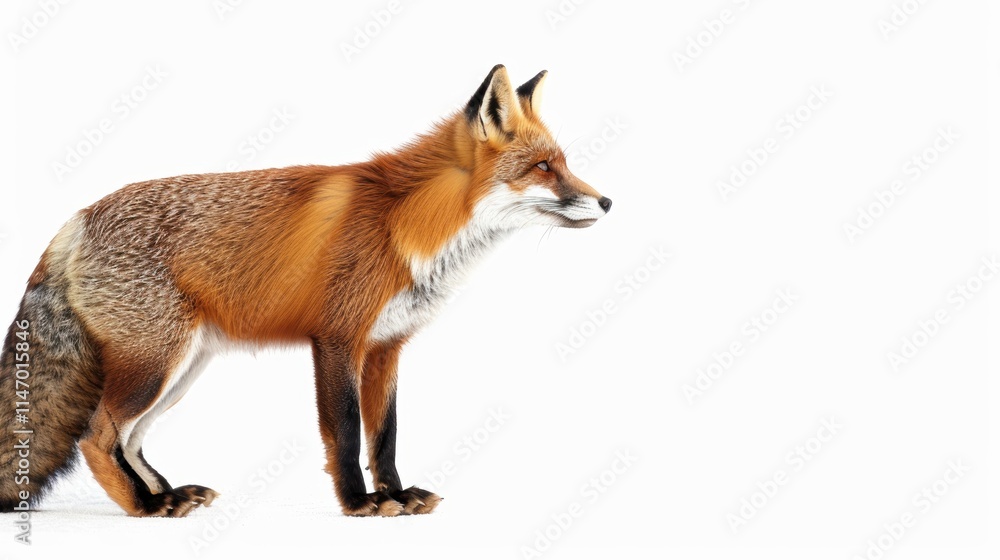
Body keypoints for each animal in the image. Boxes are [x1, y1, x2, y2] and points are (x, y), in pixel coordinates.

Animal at [0, 64, 611, 518]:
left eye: (564, 163)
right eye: (543, 167)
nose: (607, 202)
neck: (409, 226)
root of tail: (75, 219)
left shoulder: (386, 346)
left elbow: (385, 435)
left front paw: (396, 494)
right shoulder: (338, 338)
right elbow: (345, 432)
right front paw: (359, 504)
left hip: (181, 369)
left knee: (128, 439)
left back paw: (166, 494)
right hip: (155, 364)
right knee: (97, 436)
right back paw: (144, 507)